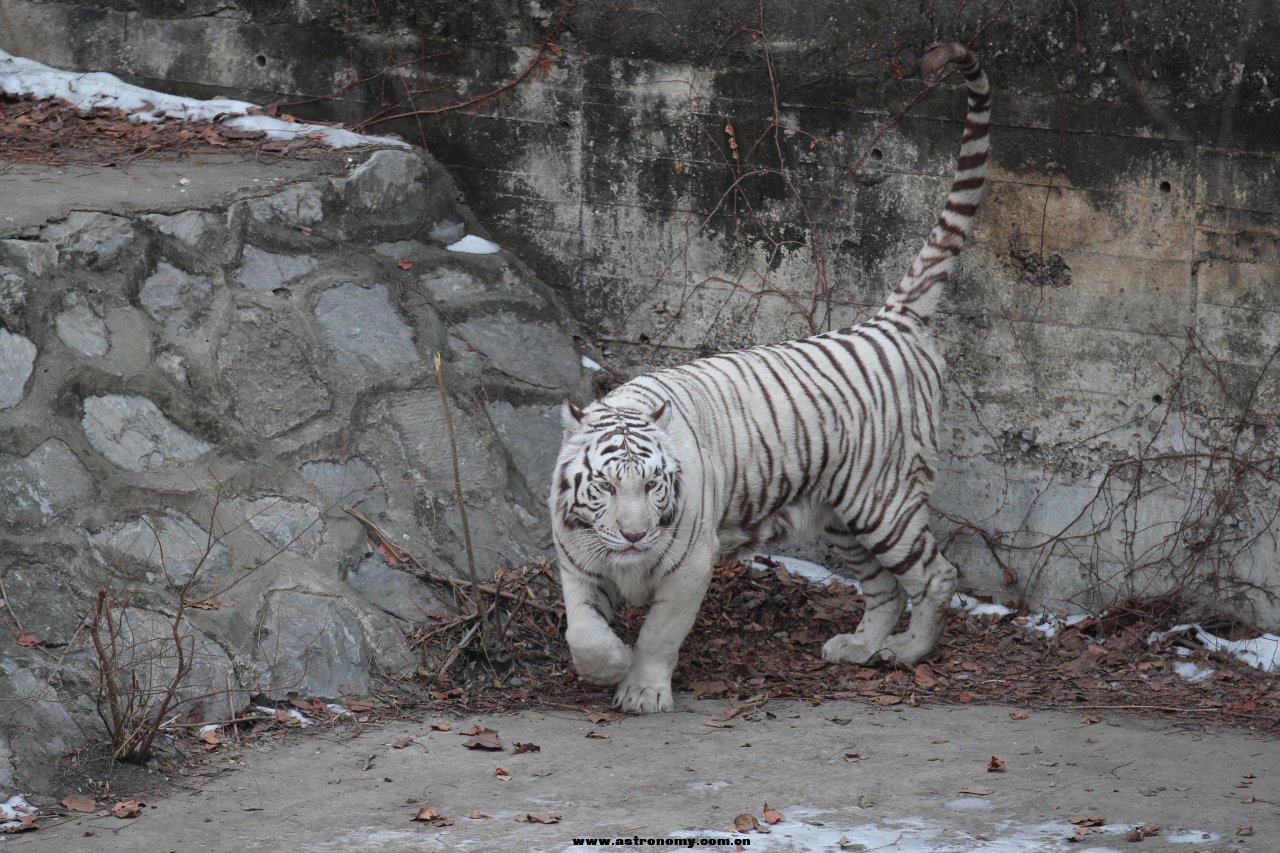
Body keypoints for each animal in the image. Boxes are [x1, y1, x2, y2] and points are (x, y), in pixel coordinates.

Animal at [547, 43, 988, 712]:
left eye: (652, 486)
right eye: (603, 487)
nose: (633, 535)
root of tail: (888, 320)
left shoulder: (690, 565)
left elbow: (659, 632)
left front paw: (642, 688)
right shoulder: (577, 559)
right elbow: (583, 631)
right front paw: (606, 665)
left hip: (883, 503)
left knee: (936, 575)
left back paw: (908, 652)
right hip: (840, 516)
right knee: (884, 588)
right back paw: (859, 648)